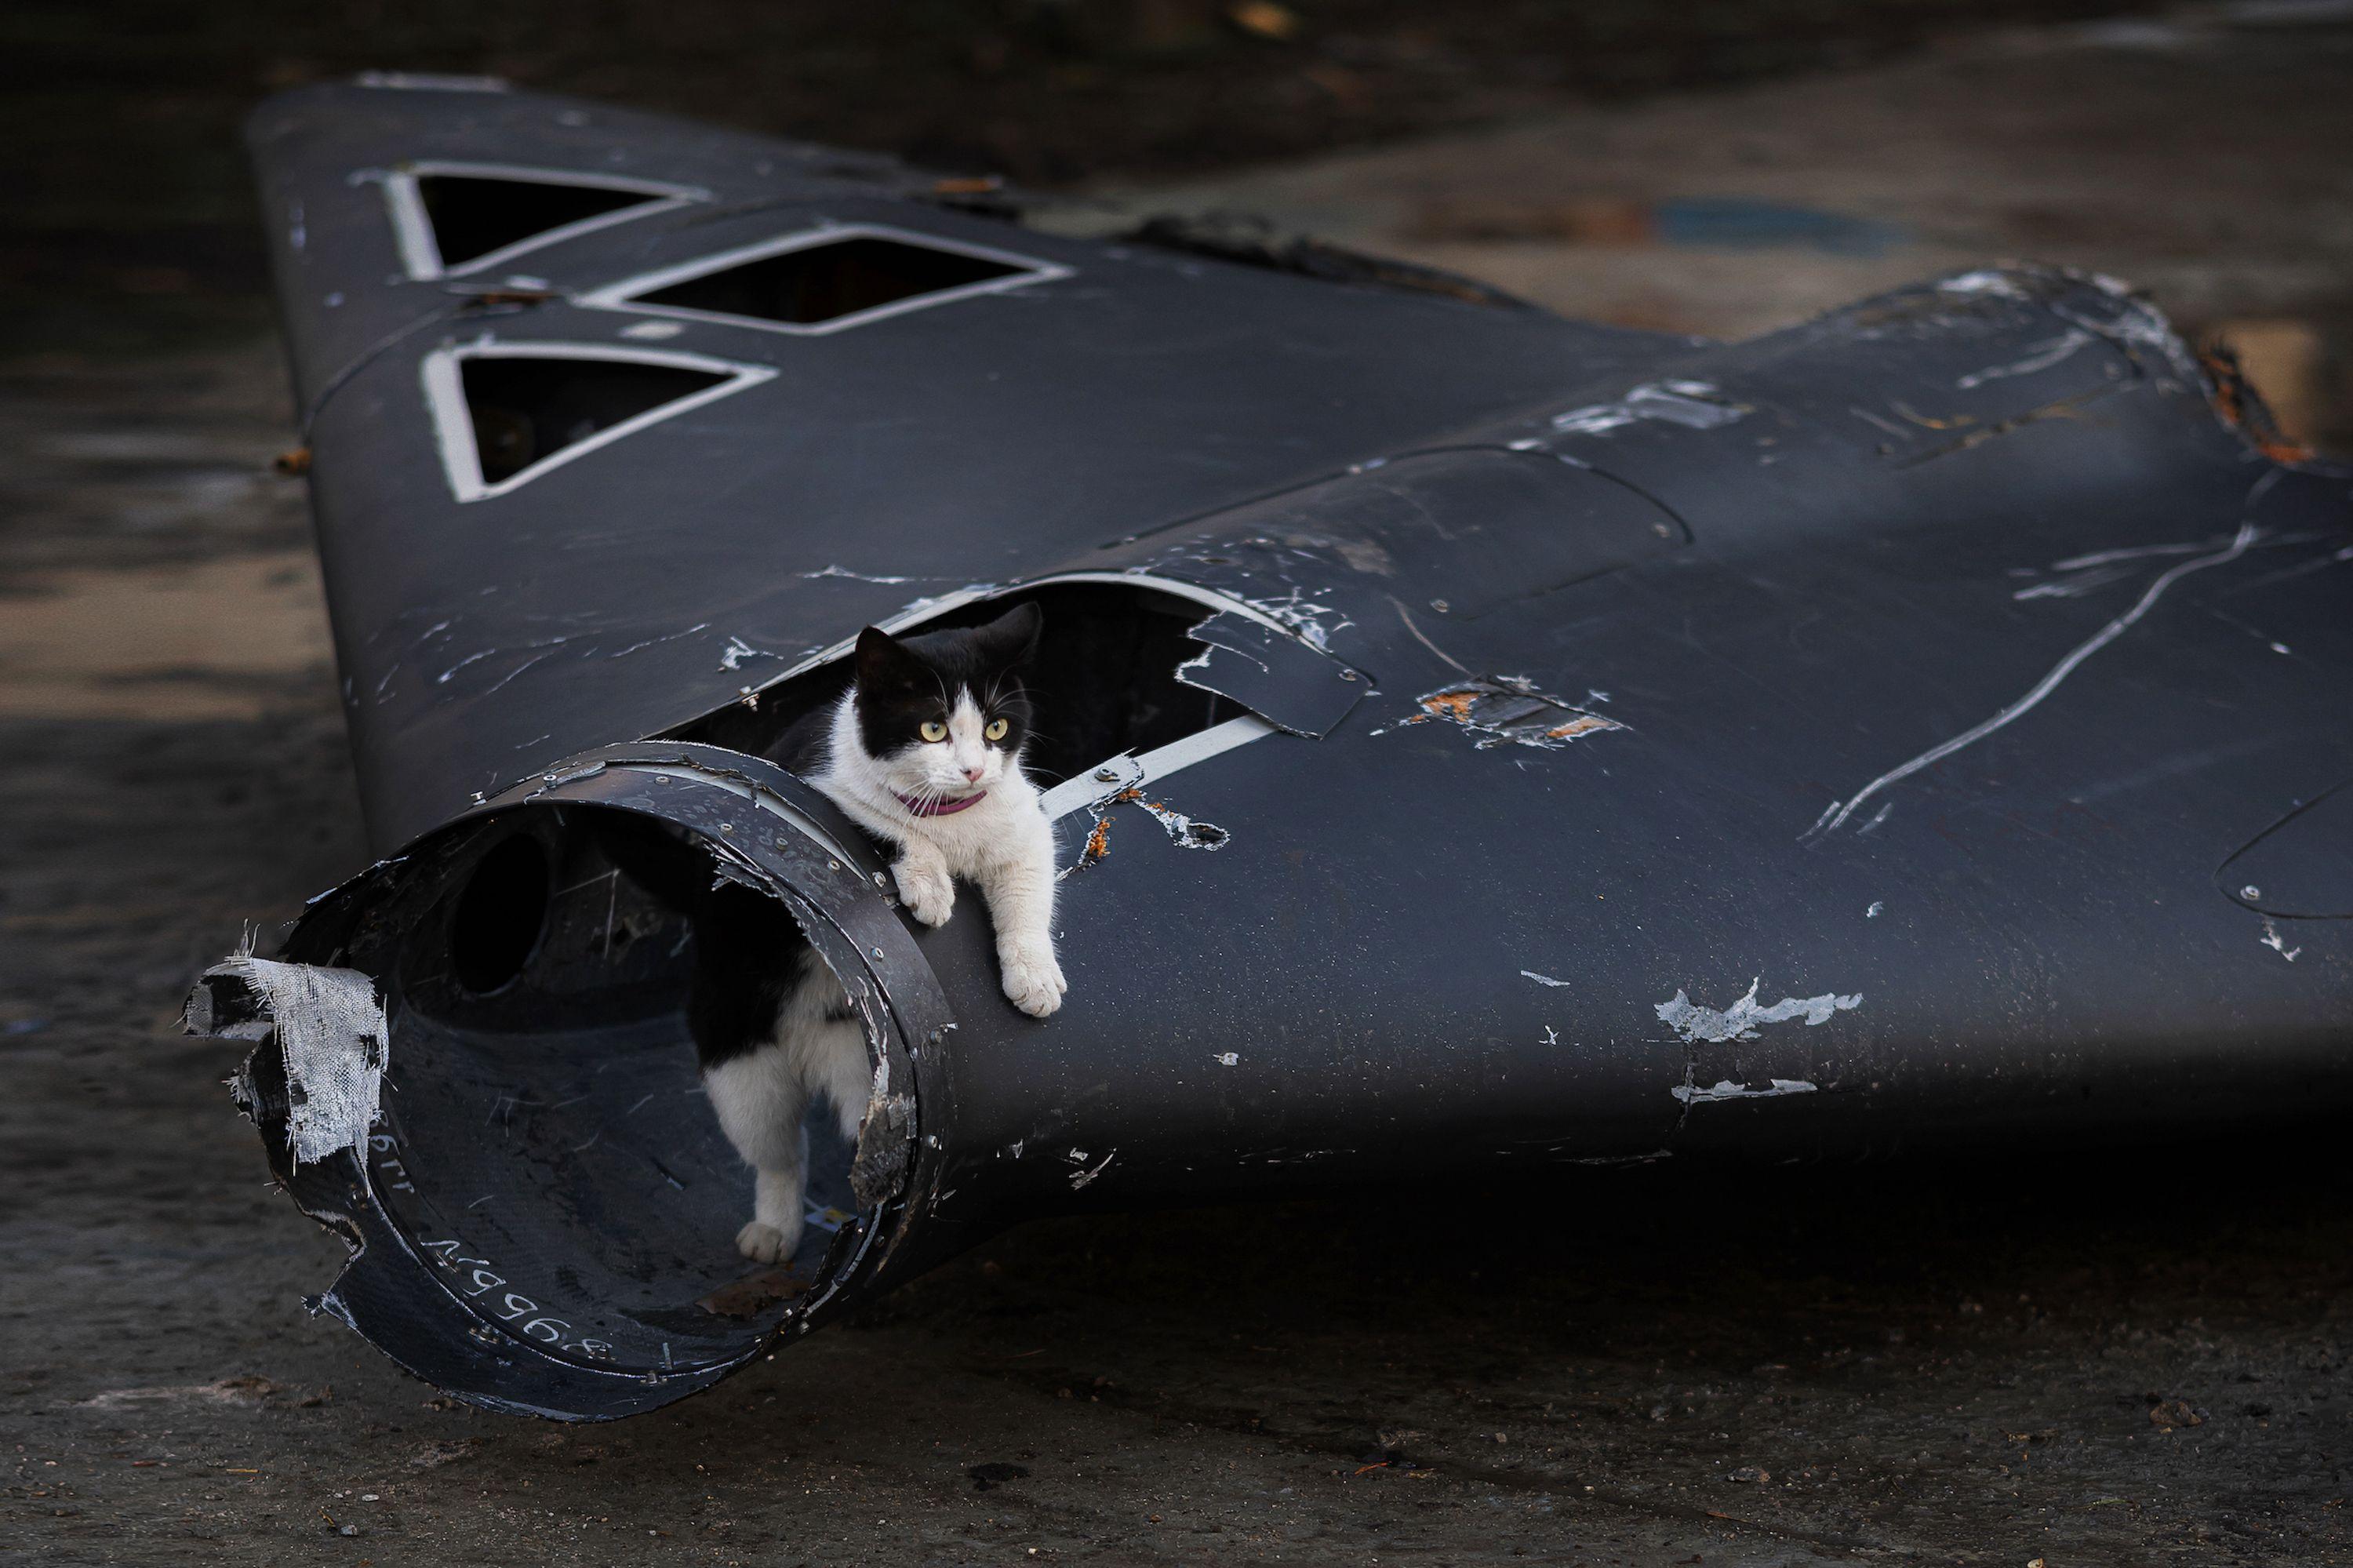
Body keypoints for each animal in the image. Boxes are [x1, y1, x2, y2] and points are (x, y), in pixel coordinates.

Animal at [602, 598, 1064, 1261]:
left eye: (997, 728)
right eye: (933, 729)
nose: (975, 771)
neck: (951, 820)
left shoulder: (1023, 821)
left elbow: (1028, 890)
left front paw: (1034, 980)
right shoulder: (807, 795)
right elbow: (881, 822)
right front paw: (929, 888)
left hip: (872, 1080)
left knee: (861, 1138)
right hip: (739, 1052)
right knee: (779, 1149)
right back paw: (772, 1231)